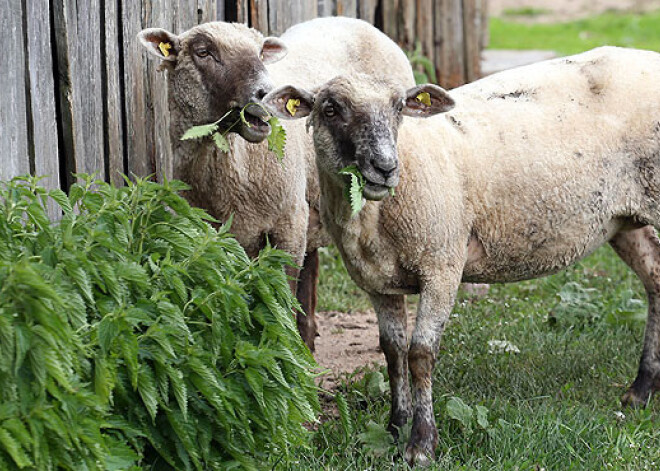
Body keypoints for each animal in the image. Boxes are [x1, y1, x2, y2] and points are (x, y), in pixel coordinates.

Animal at [137, 17, 416, 350]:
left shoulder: (288, 225)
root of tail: (355, 21)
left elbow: (282, 299)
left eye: (260, 52)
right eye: (203, 52)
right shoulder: (208, 233)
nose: (265, 93)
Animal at [266, 46, 660, 466]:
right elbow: (393, 352)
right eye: (330, 108)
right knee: (655, 277)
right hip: (622, 220)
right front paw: (394, 429)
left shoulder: (442, 266)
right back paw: (641, 389)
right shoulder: (377, 282)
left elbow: (420, 354)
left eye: (398, 107)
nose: (385, 168)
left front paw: (421, 444)